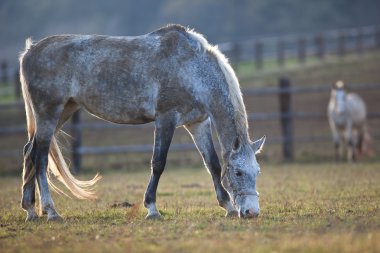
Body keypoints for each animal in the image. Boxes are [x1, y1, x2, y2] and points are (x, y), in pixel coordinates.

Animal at [19, 24, 266, 220]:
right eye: (238, 173)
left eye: (258, 171)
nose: (251, 212)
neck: (192, 68)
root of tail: (30, 51)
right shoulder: (166, 118)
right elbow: (158, 163)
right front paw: (152, 209)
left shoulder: (198, 123)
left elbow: (213, 164)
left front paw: (227, 206)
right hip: (49, 114)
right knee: (40, 157)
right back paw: (51, 211)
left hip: (63, 112)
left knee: (30, 151)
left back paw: (31, 210)